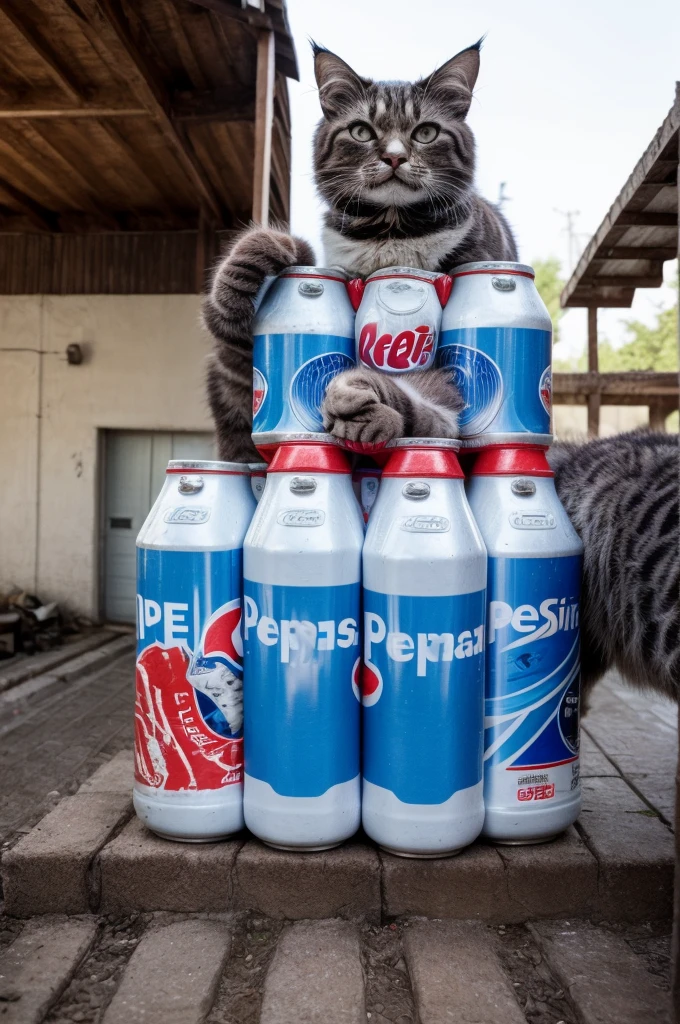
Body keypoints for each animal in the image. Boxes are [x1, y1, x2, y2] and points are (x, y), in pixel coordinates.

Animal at [202, 37, 516, 460]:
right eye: (361, 132)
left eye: (427, 132)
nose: (395, 156)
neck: (391, 232)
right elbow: (232, 325)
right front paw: (255, 260)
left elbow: (436, 402)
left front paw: (365, 411)